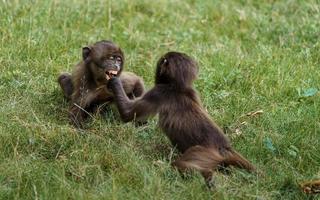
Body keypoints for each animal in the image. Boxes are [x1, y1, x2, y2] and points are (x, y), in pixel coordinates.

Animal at [107, 51, 255, 184]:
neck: (179, 88)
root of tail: (224, 147)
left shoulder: (159, 92)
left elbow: (127, 113)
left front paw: (114, 82)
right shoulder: (193, 92)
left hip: (203, 153)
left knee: (182, 165)